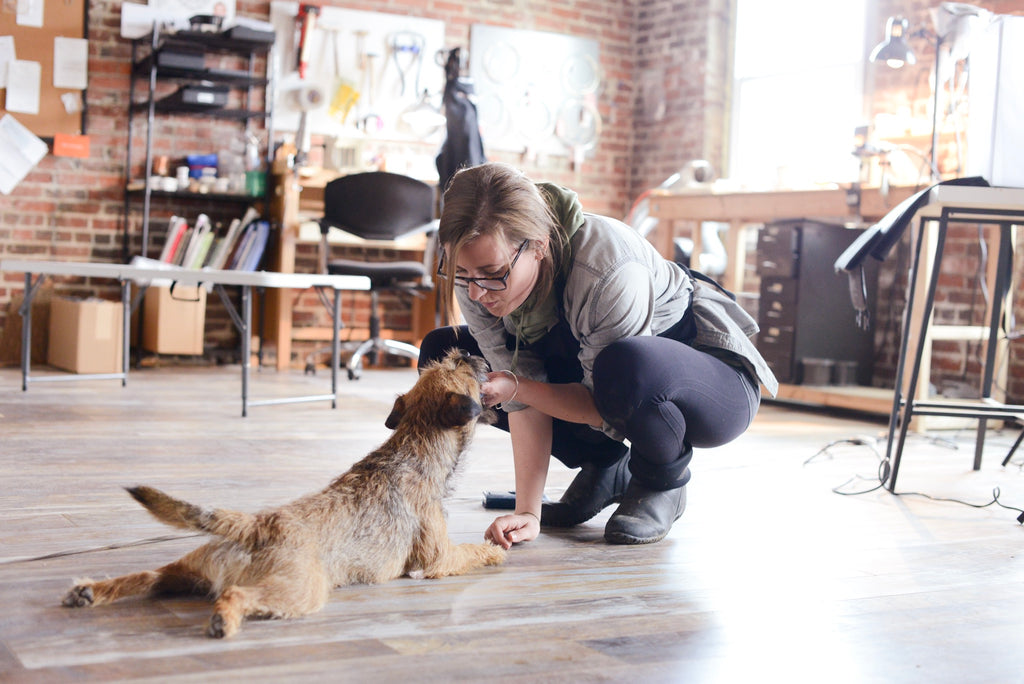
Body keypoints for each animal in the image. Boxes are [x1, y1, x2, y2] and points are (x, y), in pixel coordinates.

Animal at [60, 350, 507, 638]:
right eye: (462, 366)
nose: (476, 353)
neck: (413, 445)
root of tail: (256, 525)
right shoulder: (438, 559)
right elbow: (469, 551)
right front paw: (494, 551)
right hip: (298, 592)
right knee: (237, 594)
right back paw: (224, 621)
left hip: (186, 569)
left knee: (146, 576)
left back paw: (90, 590)